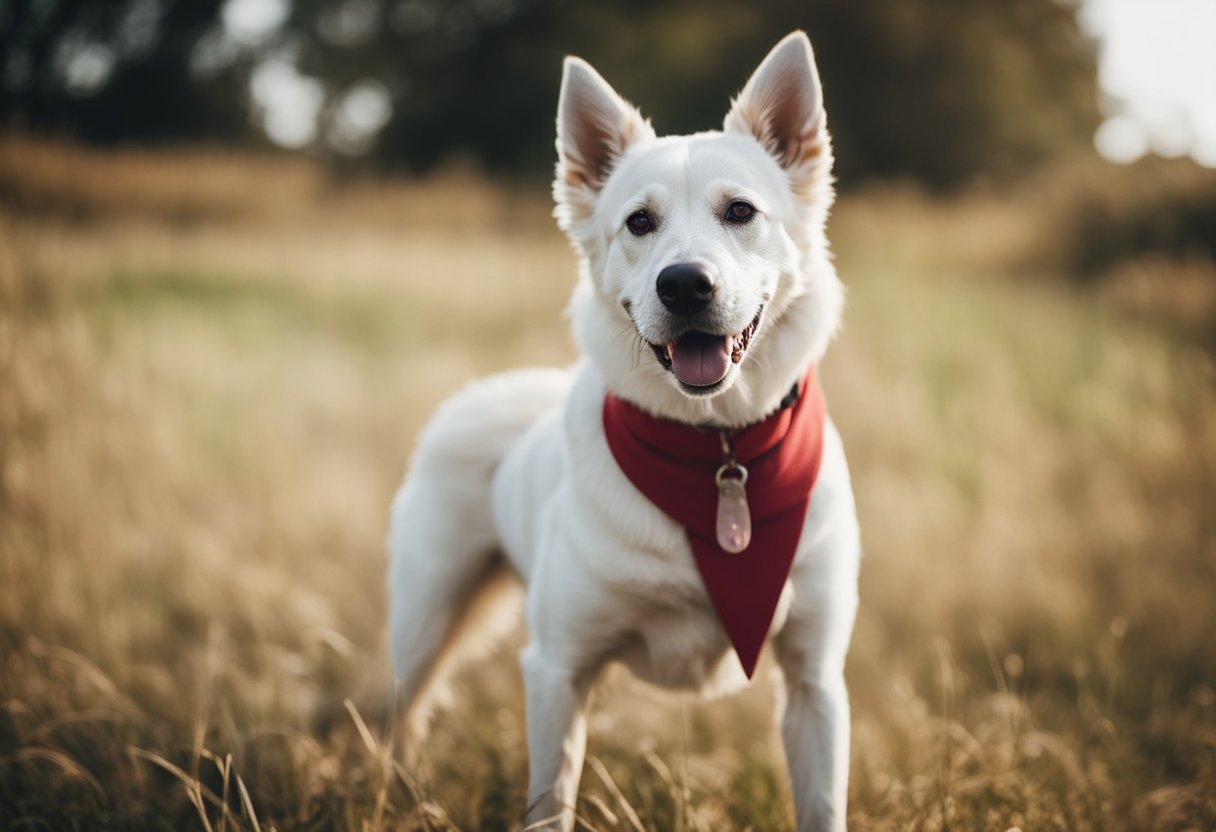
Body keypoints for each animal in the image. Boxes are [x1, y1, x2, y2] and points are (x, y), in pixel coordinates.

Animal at [386, 32, 856, 832]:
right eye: (639, 223)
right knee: (402, 716)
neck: (718, 455)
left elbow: (822, 804)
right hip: (427, 616)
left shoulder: (815, 682)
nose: (685, 284)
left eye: (740, 211)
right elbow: (551, 802)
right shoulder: (557, 669)